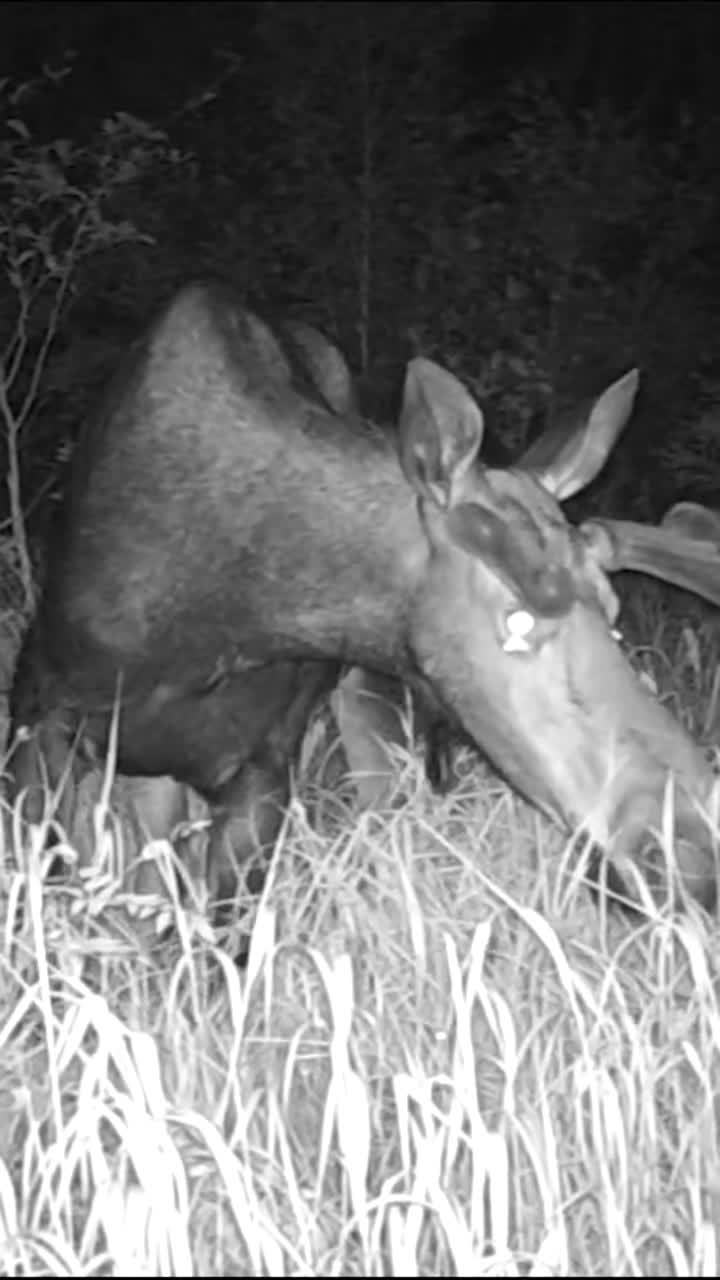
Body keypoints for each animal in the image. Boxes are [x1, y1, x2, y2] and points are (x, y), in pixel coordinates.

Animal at [7, 281, 720, 935]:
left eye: (613, 608)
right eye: (515, 620)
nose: (691, 845)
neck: (212, 631)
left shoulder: (264, 771)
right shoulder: (39, 724)